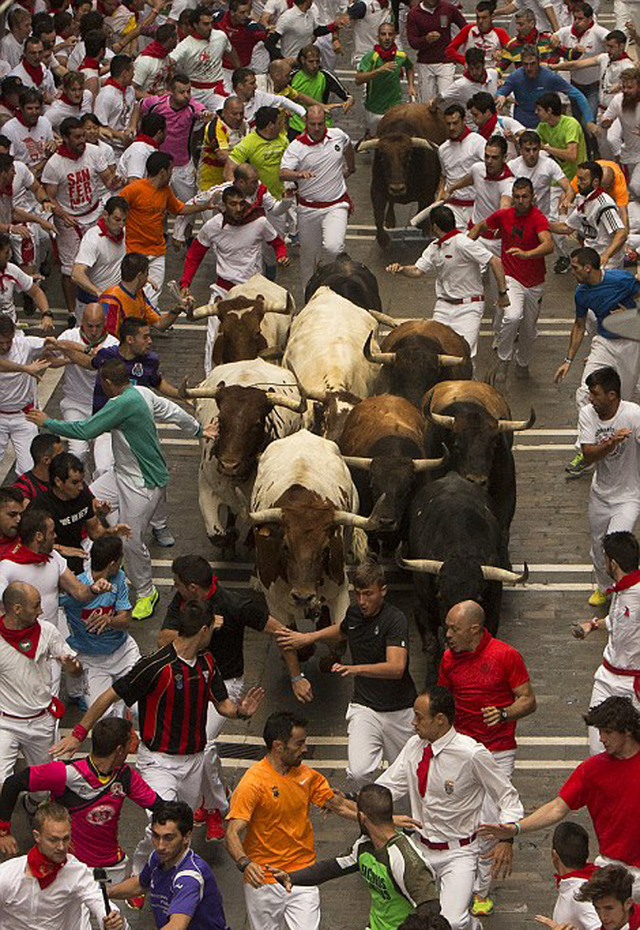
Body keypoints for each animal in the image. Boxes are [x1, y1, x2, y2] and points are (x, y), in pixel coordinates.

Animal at [358, 102, 448, 246]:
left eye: (409, 156)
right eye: (382, 157)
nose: (397, 188)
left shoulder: (427, 192)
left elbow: (423, 209)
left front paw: (424, 228)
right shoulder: (376, 189)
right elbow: (378, 215)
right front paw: (383, 240)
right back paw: (390, 220)